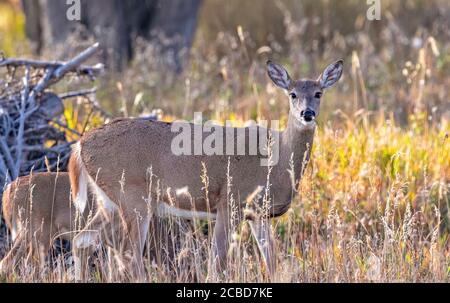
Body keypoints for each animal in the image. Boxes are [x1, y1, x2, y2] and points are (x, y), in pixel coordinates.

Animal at [70, 59, 342, 280]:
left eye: (318, 93)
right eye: (293, 94)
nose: (307, 113)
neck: (278, 161)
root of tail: (80, 144)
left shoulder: (258, 213)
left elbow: (272, 262)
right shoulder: (230, 200)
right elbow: (216, 261)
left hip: (109, 202)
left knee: (81, 240)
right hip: (133, 196)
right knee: (128, 255)